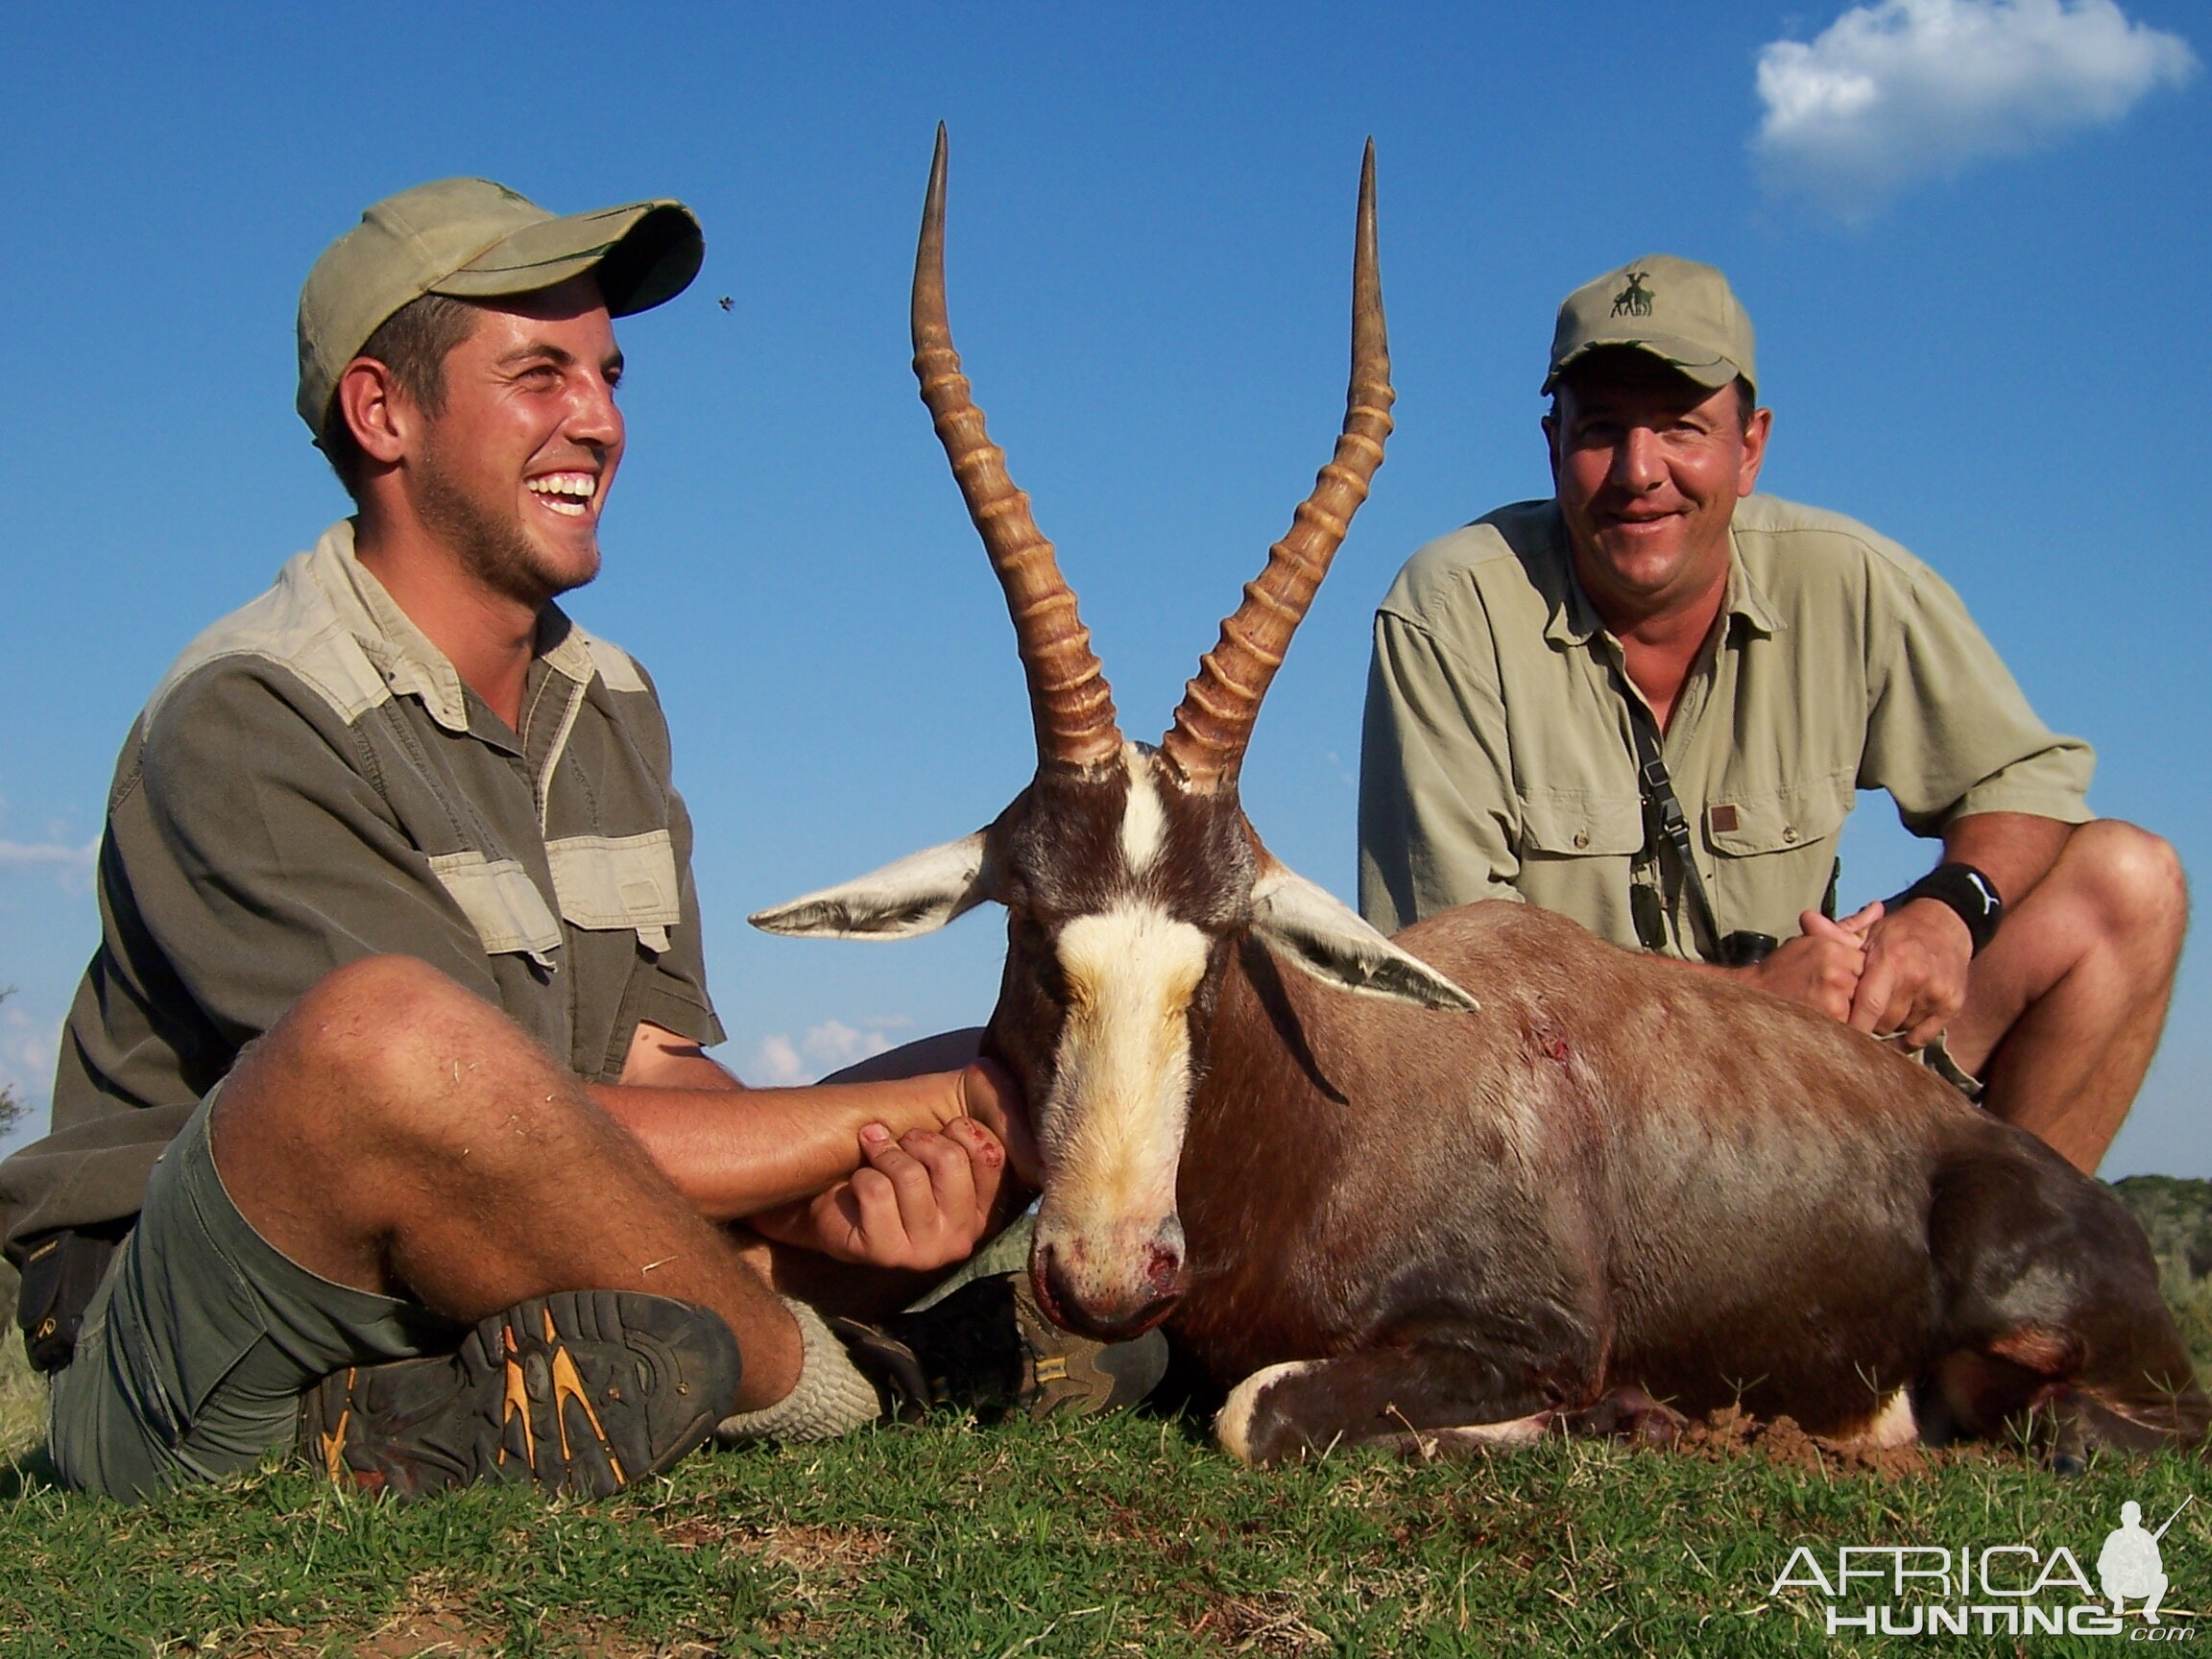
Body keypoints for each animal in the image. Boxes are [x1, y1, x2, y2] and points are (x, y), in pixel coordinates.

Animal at [756, 136, 2194, 1478]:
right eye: (1030, 934)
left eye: (1219, 953)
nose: (1107, 1278)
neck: (1337, 1107)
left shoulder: (1525, 1336)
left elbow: (1255, 1410)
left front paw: (1617, 1417)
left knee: (2074, 1426)